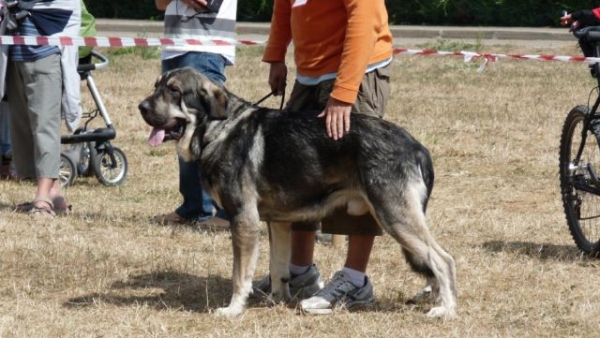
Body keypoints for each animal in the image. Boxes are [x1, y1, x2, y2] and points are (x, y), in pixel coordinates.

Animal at [138, 67, 458, 318]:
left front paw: (233, 309)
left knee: (443, 260)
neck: (220, 129)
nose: (141, 107)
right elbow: (278, 266)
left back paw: (445, 309)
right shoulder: (277, 222)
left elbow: (239, 275)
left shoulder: (243, 219)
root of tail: (416, 146)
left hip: (395, 217)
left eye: (174, 91)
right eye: (156, 86)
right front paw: (276, 300)